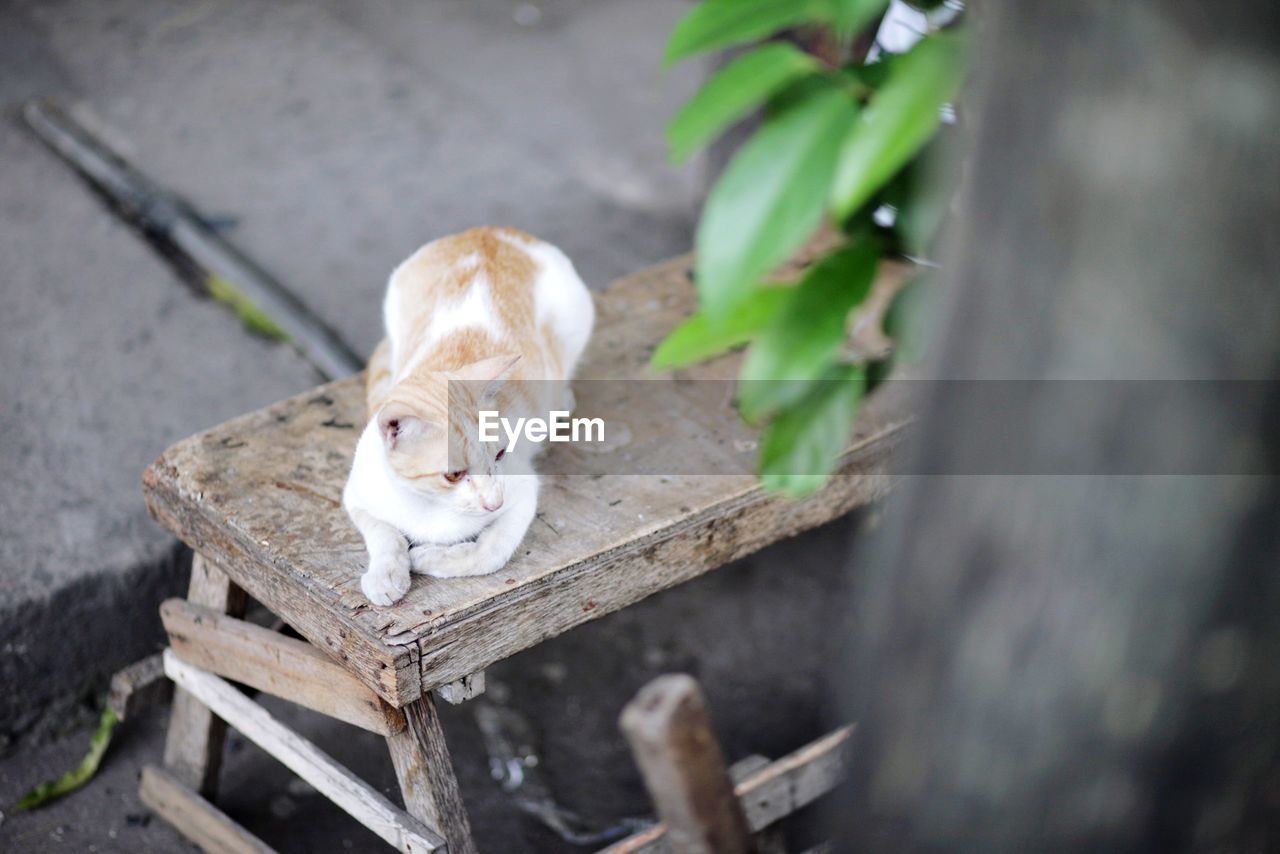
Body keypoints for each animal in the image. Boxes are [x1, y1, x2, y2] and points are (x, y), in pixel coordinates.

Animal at [345, 224, 593, 604]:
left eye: (501, 454)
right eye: (453, 475)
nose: (493, 502)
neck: (429, 508)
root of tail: (489, 230)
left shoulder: (522, 491)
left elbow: (489, 553)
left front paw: (429, 557)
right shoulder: (355, 495)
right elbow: (383, 533)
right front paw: (386, 574)